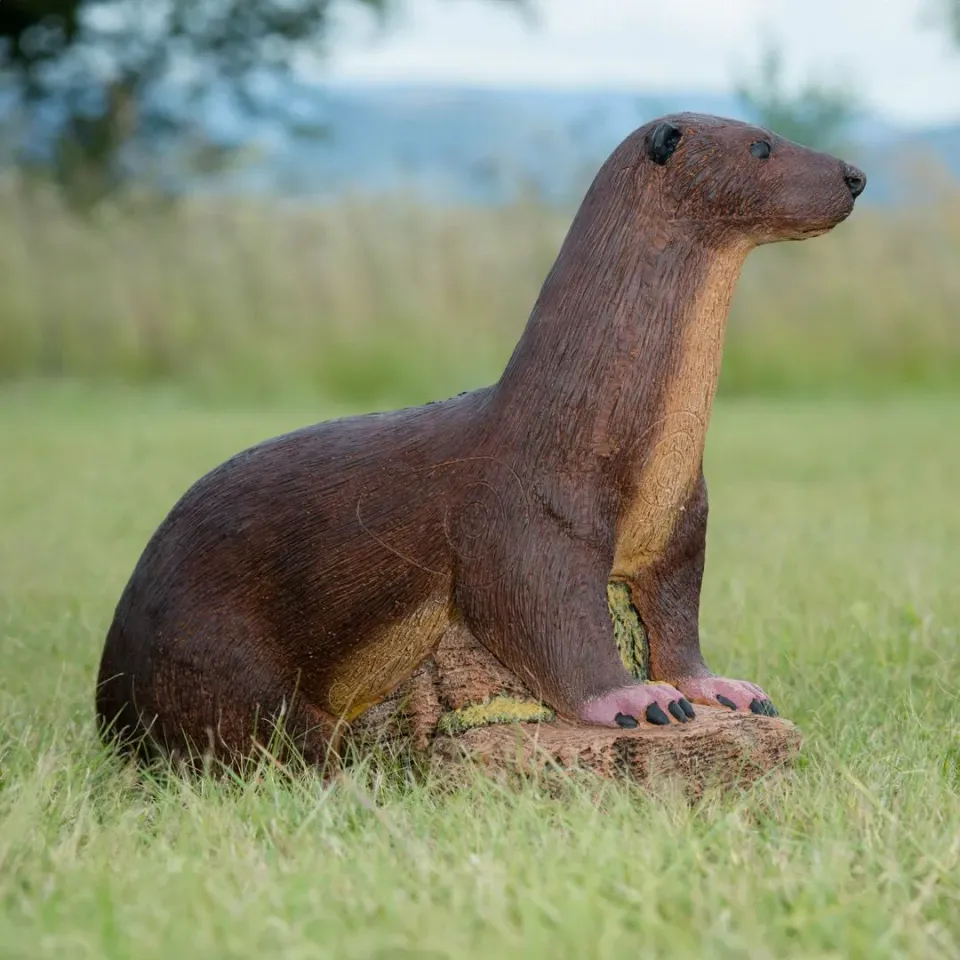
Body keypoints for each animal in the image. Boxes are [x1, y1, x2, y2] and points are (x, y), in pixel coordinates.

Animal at [95, 113, 866, 768]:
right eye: (762, 145)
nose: (854, 173)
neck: (601, 438)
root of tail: (109, 678)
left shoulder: (680, 529)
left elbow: (678, 623)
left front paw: (718, 687)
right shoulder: (528, 525)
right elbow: (552, 629)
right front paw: (634, 700)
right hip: (207, 648)